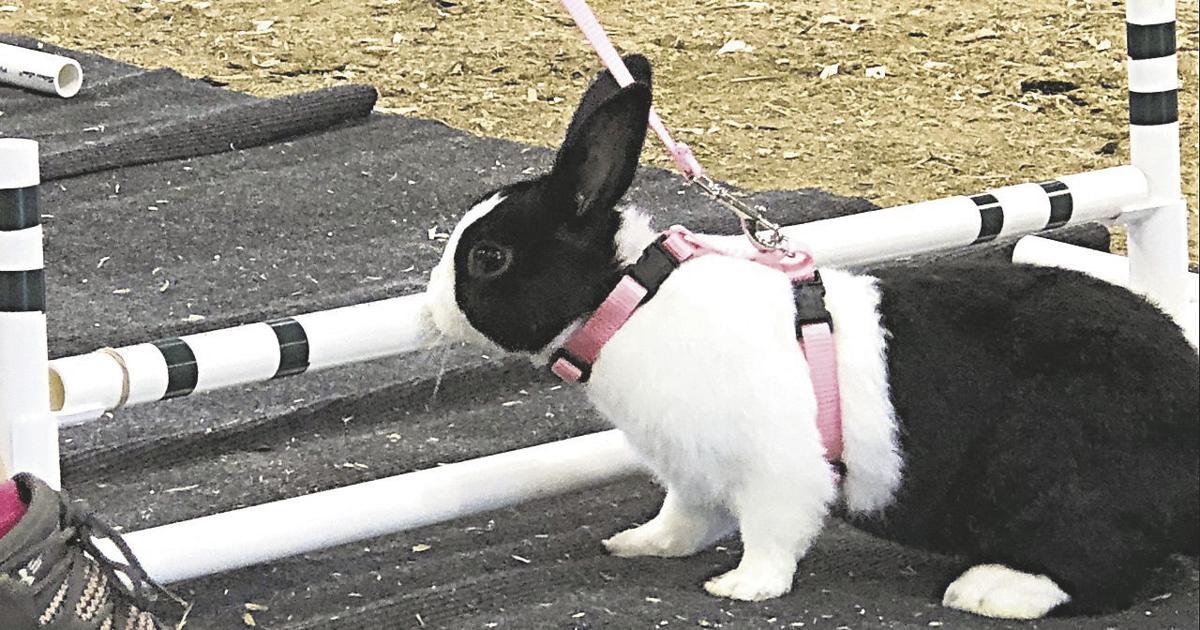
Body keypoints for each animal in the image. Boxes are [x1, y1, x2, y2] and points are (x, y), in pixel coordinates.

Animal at [424, 54, 1199, 619]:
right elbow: (686, 518)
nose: (430, 310)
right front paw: (640, 546)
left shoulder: (779, 472)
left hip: (1067, 487)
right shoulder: (691, 474)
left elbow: (772, 535)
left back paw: (987, 590)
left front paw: (740, 589)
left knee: (1103, 568)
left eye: (488, 258)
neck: (631, 302)